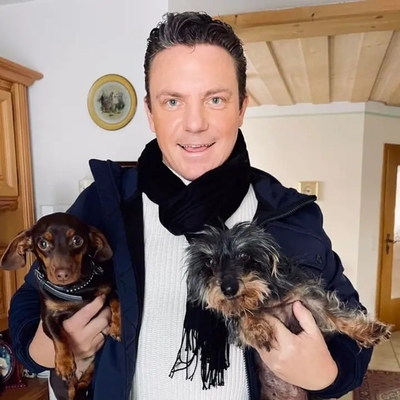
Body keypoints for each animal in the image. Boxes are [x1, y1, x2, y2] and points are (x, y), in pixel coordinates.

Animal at [0, 212, 121, 400]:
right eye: (43, 243)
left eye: (77, 240)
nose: (63, 274)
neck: (75, 289)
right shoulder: (48, 318)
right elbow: (60, 336)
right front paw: (64, 364)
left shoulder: (108, 290)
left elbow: (116, 304)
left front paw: (116, 327)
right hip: (64, 390)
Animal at [184, 221, 392, 400]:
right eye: (210, 262)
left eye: (244, 255)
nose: (228, 289)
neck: (267, 300)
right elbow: (242, 314)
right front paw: (257, 329)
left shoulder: (309, 298)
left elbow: (337, 315)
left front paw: (369, 331)